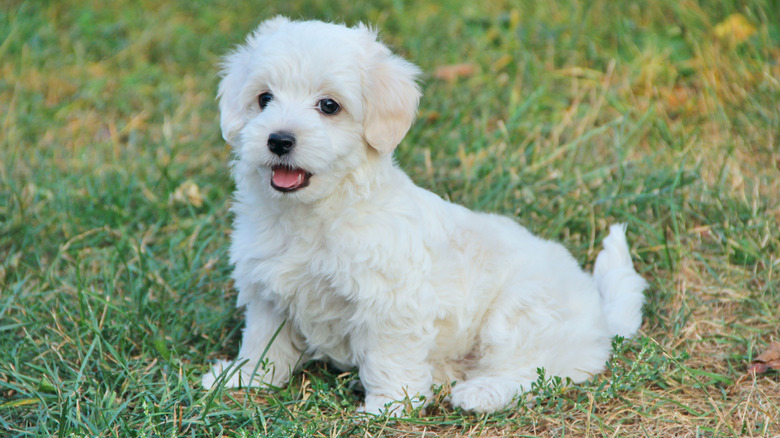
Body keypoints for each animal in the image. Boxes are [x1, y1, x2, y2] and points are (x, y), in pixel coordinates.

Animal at [203, 17, 644, 414]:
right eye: (264, 99)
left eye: (329, 106)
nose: (279, 140)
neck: (314, 212)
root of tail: (600, 318)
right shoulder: (267, 292)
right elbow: (264, 341)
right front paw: (245, 377)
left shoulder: (390, 302)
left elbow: (388, 356)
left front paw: (389, 405)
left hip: (521, 313)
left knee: (529, 373)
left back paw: (480, 394)